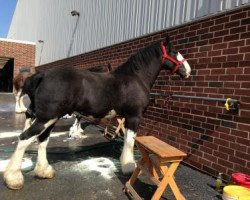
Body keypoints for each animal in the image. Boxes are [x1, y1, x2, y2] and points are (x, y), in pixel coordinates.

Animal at [3, 36, 190, 189]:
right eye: (174, 51)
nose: (188, 71)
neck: (135, 78)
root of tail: (42, 75)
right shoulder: (134, 117)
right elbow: (130, 141)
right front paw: (128, 167)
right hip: (46, 118)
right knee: (24, 138)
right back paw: (13, 179)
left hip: (50, 118)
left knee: (42, 140)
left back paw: (44, 171)